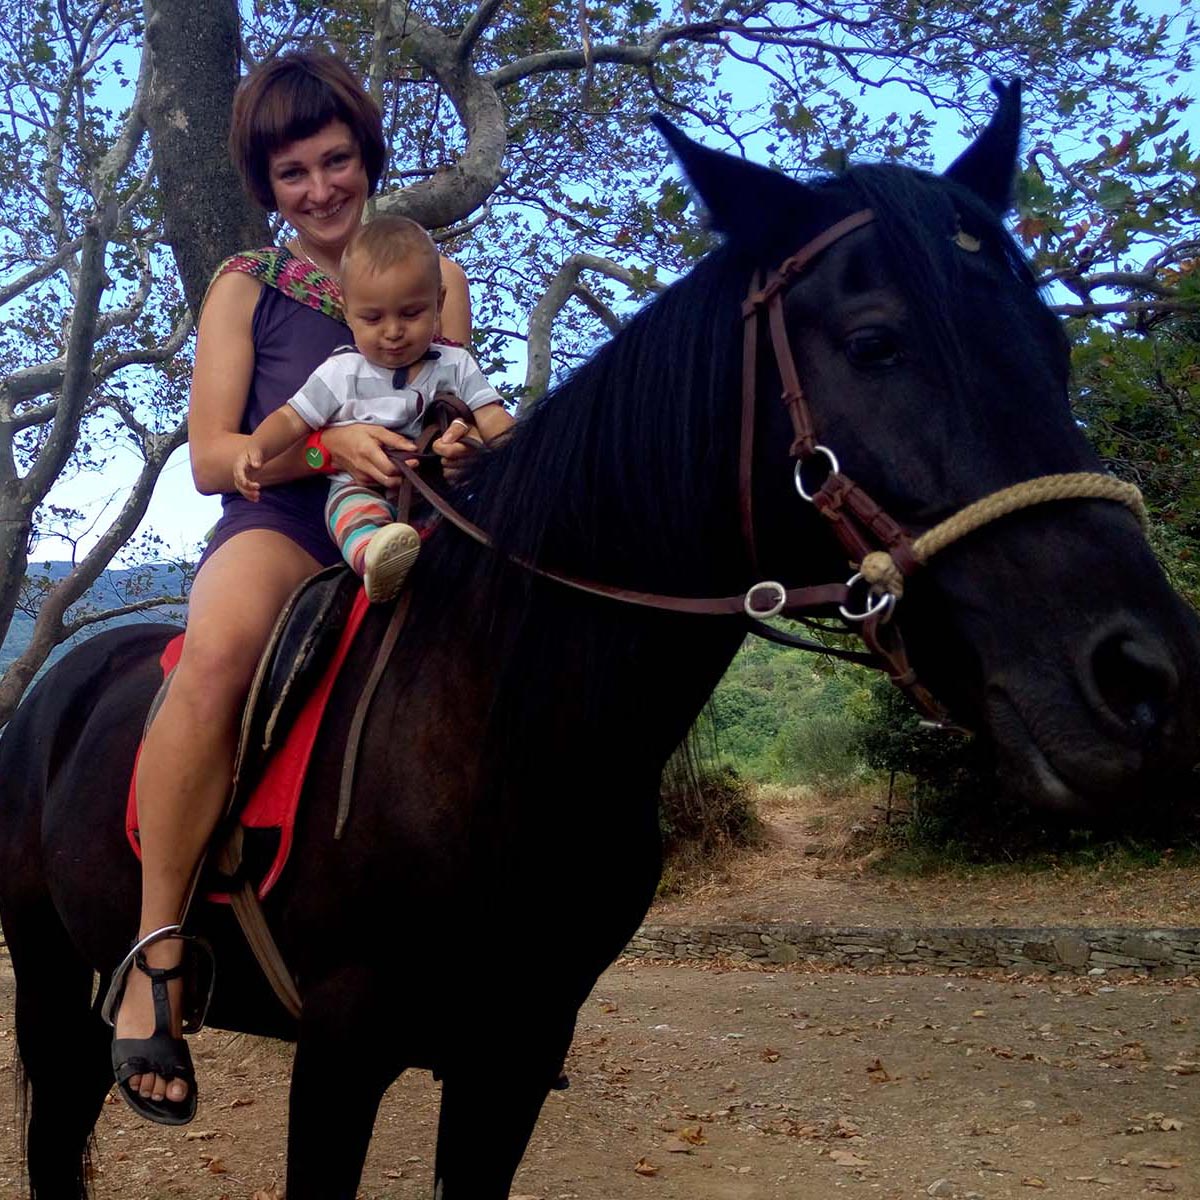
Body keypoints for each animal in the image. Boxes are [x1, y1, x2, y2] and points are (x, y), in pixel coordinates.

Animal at [7, 91, 1200, 1200]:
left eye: (1053, 346)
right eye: (875, 343)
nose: (1146, 682)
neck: (506, 721)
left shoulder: (515, 1056)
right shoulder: (341, 1054)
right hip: (58, 997)